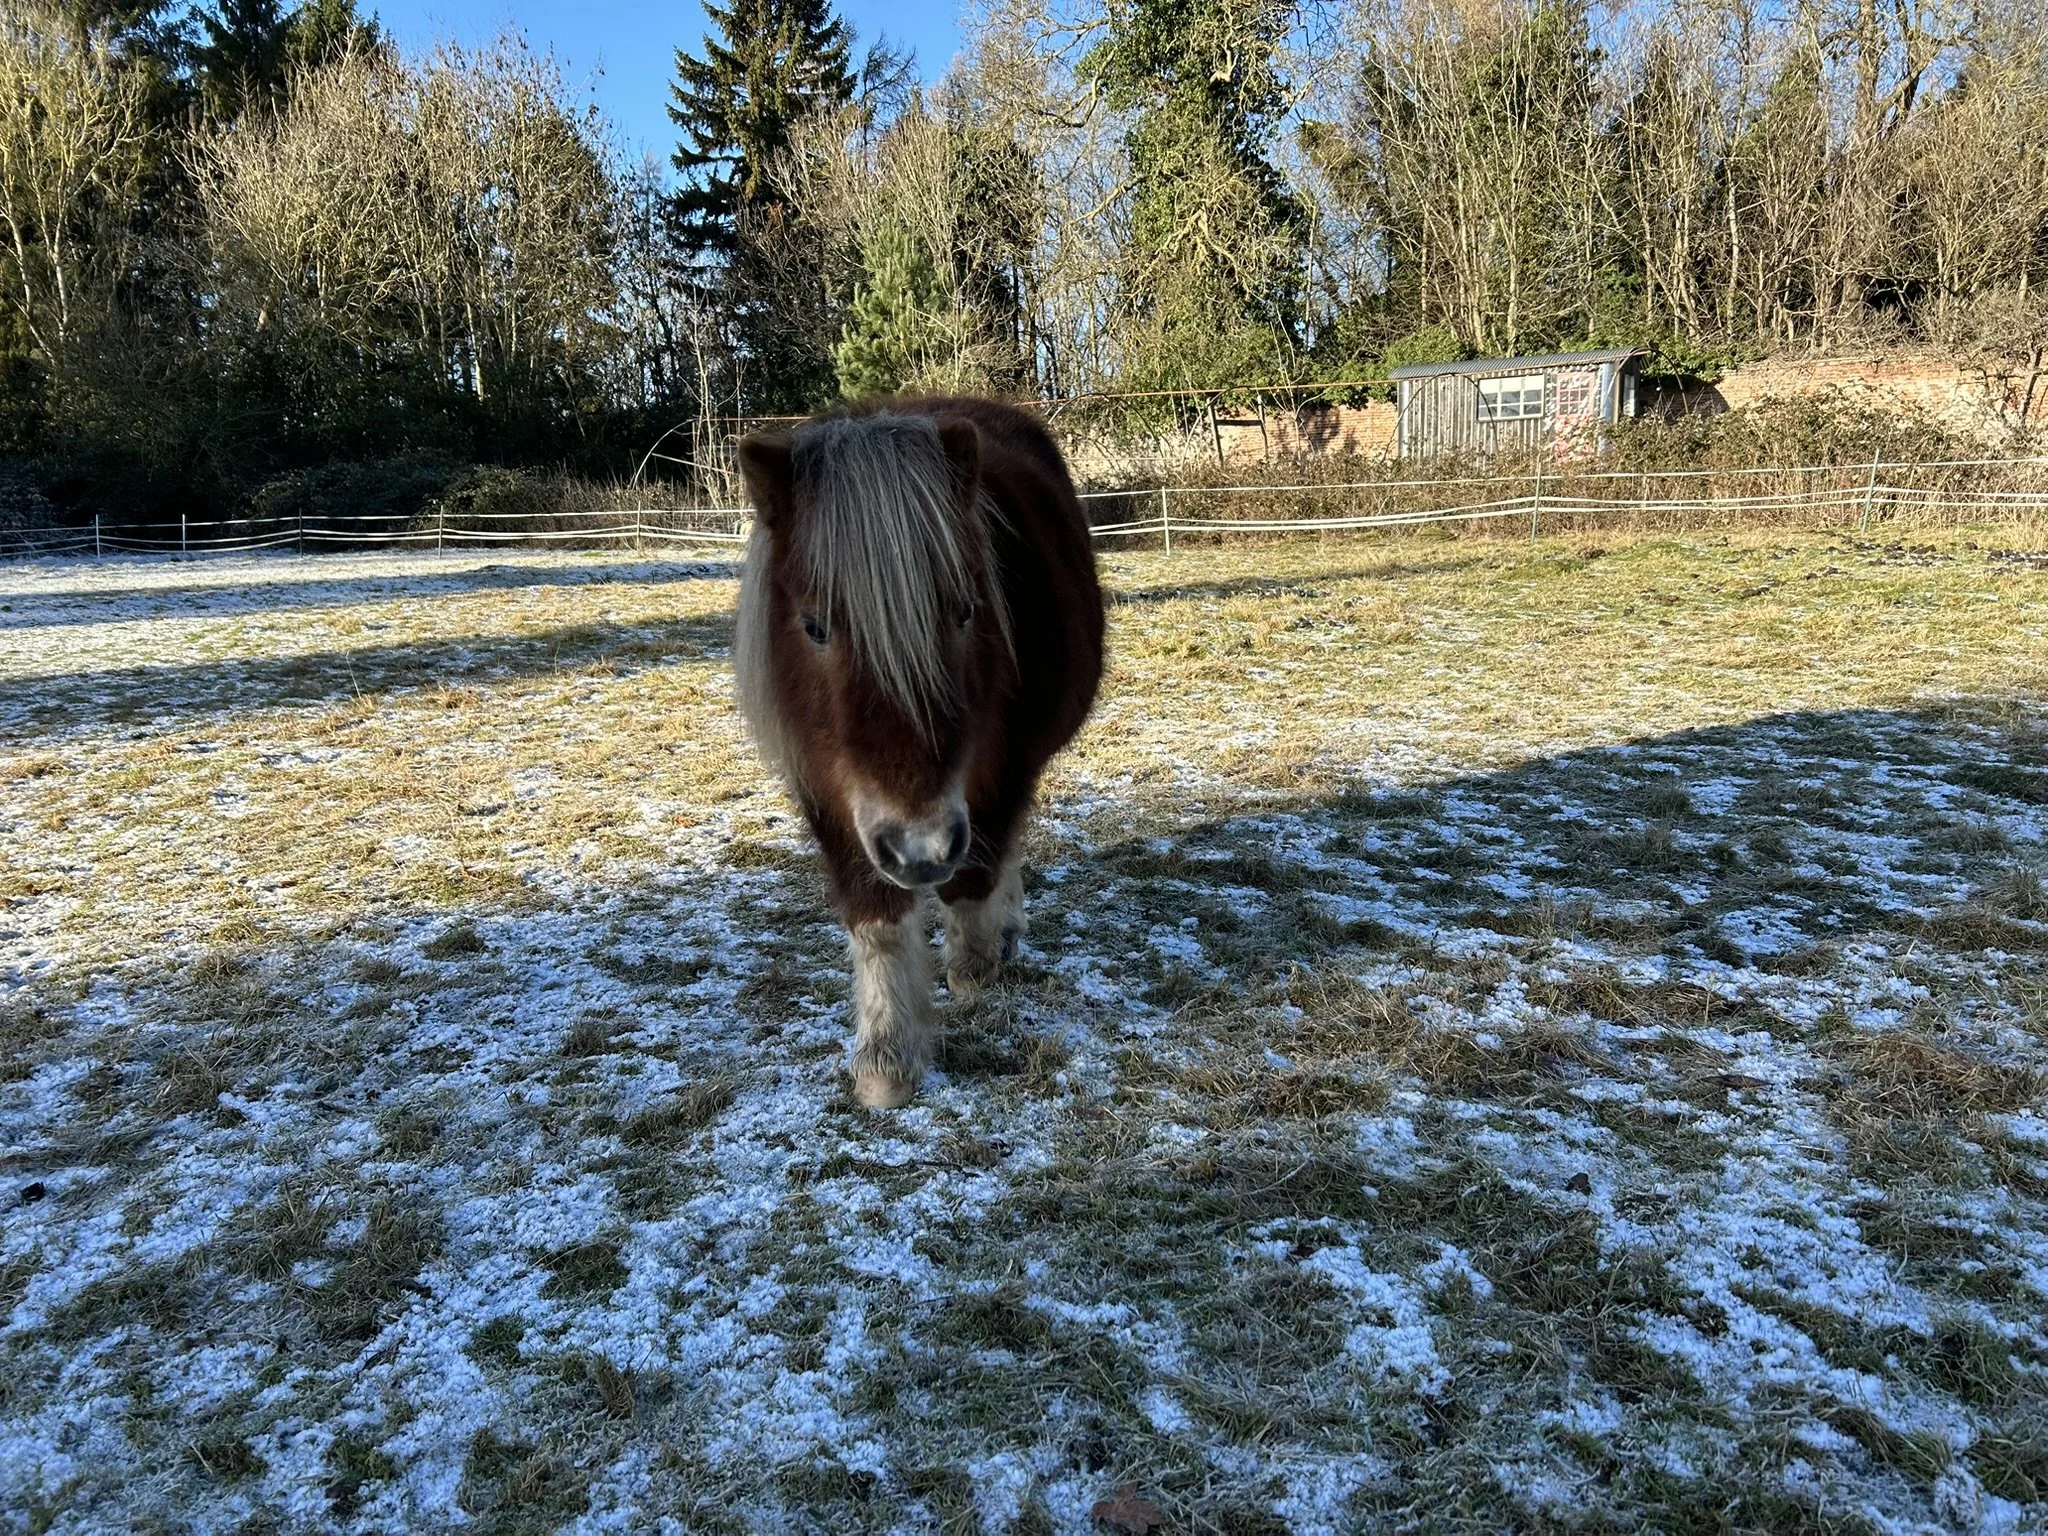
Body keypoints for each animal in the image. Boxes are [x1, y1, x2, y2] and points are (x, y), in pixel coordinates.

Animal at [733, 396, 1104, 1109]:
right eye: (814, 626)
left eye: (965, 612)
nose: (921, 850)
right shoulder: (829, 793)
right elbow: (876, 918)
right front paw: (886, 1057)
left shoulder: (1004, 770)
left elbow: (974, 876)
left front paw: (972, 969)